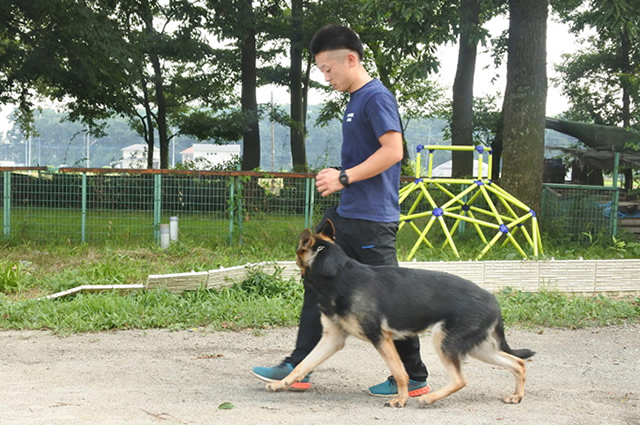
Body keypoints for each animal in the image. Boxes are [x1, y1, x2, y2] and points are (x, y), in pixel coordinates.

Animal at [264, 219, 536, 408]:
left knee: (461, 379)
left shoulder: (380, 338)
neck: (338, 274)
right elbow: (302, 364)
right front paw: (281, 383)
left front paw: (401, 400)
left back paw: (428, 399)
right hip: (479, 348)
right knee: (518, 363)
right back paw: (517, 396)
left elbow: (400, 372)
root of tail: (493, 299)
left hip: (444, 342)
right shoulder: (332, 339)